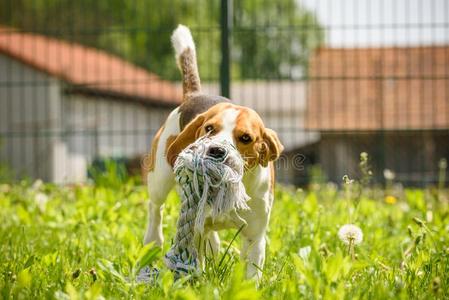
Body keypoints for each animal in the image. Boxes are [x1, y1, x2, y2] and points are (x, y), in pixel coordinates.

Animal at [143, 25, 284, 278]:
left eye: (246, 138)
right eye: (209, 129)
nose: (216, 151)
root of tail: (195, 95)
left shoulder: (255, 236)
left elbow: (251, 272)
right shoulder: (196, 228)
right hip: (159, 178)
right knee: (155, 207)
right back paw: (153, 239)